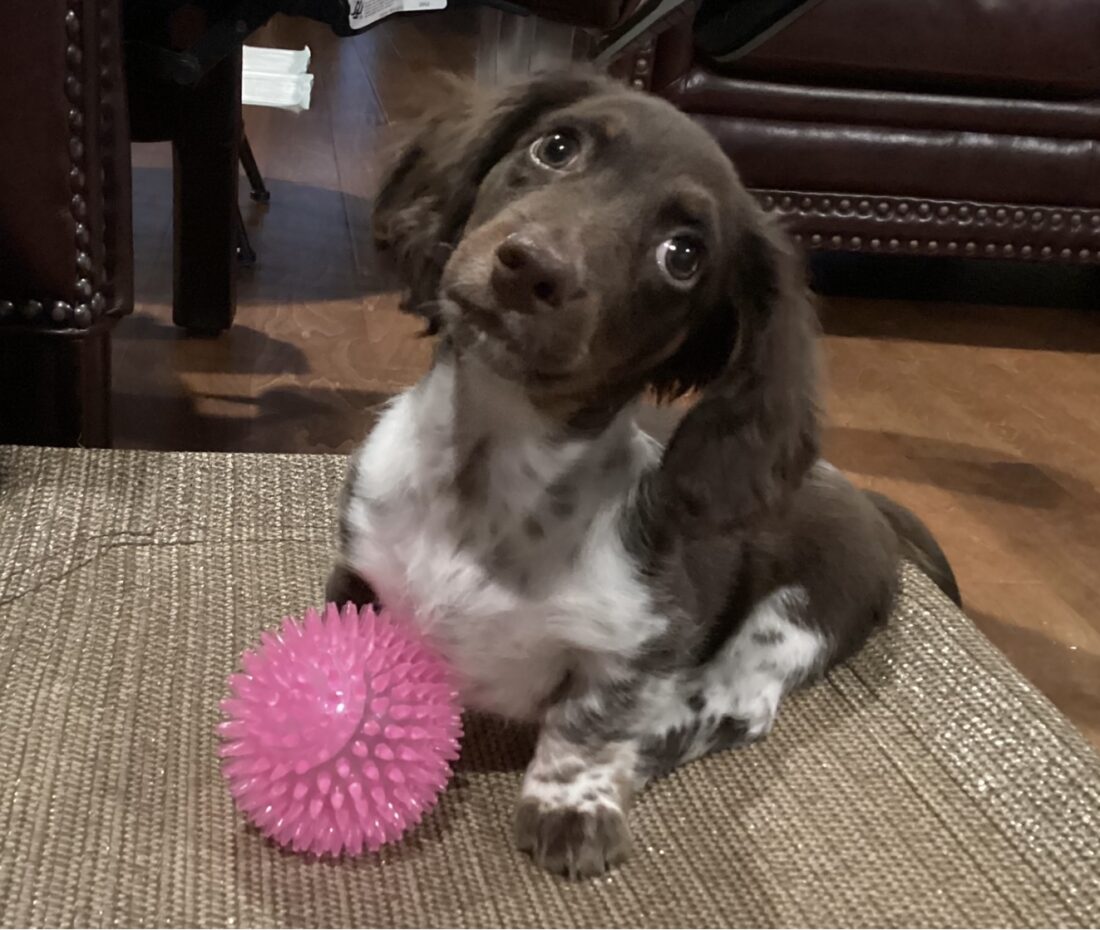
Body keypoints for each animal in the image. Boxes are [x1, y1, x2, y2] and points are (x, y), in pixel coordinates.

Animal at [327, 72, 963, 876]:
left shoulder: (648, 637)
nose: (532, 268)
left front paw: (573, 801)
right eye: (555, 146)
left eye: (682, 256)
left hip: (795, 619)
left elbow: (594, 716)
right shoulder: (360, 567)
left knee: (740, 705)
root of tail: (867, 497)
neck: (489, 479)